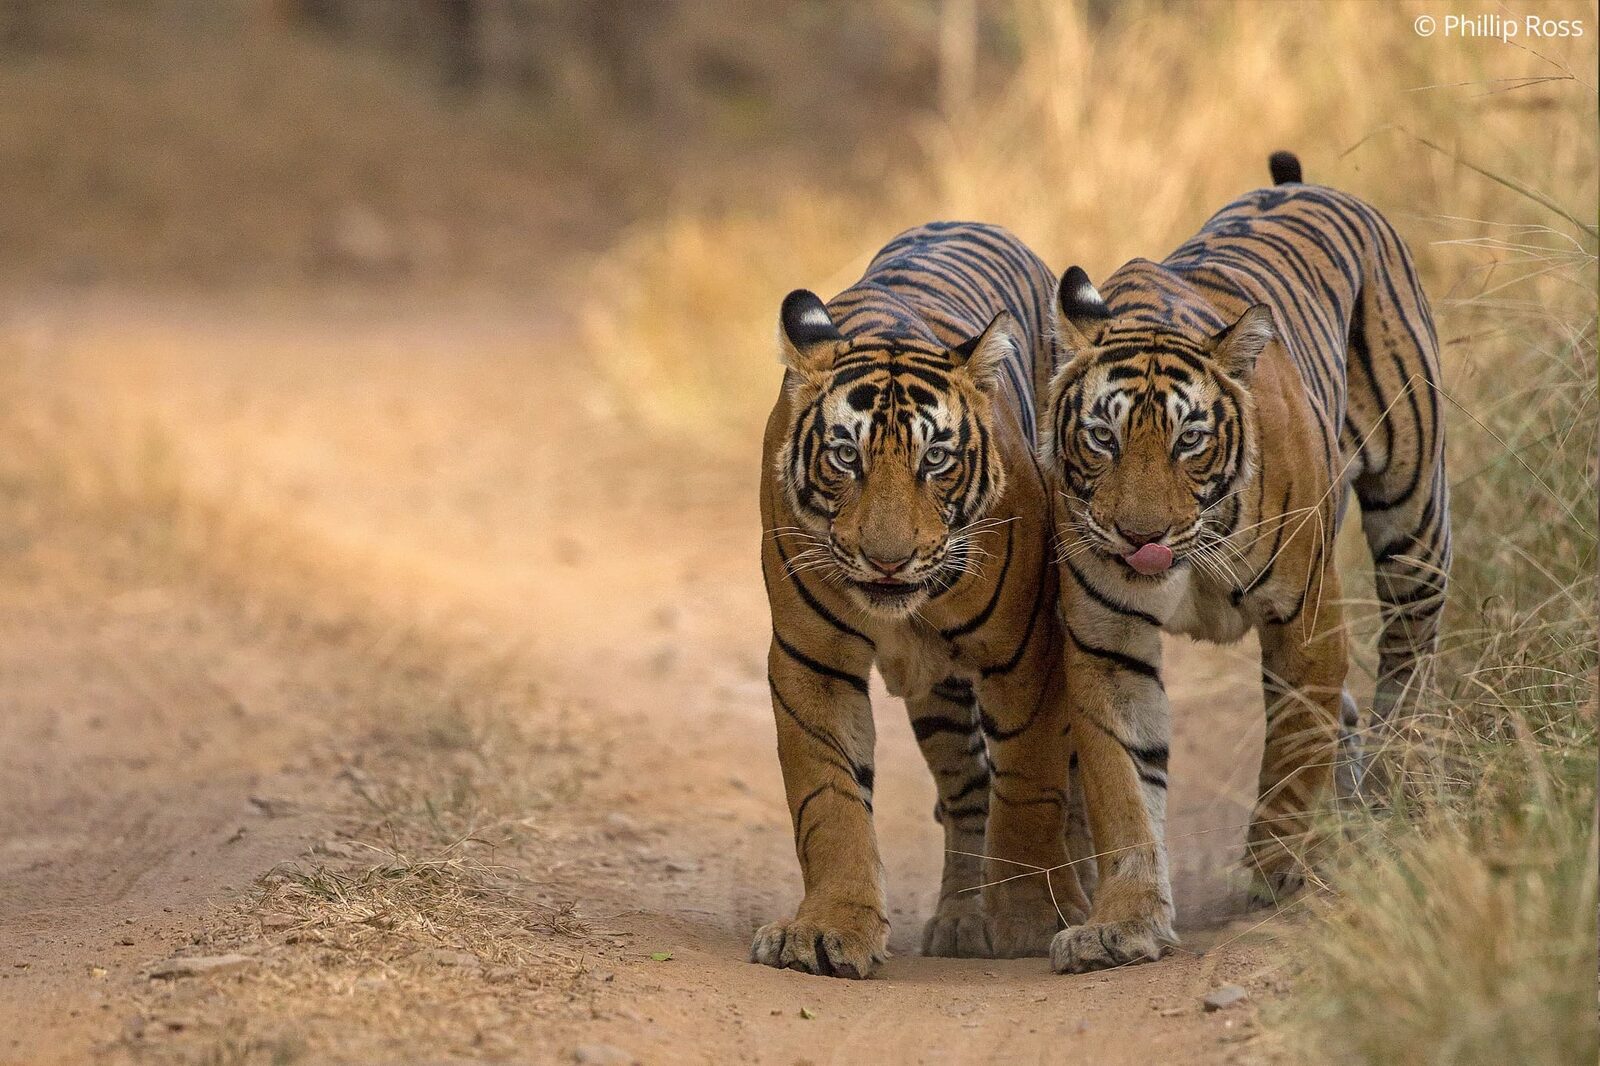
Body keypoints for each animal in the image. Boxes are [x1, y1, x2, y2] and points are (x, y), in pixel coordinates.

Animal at [754, 221, 1094, 979]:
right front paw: (828, 930)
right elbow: (829, 798)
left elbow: (1030, 785)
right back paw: (963, 919)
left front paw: (1034, 920)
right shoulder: (811, 658)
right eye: (845, 457)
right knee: (966, 788)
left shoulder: (1026, 651)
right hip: (936, 693)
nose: (888, 560)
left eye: (935, 459)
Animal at [1039, 152, 1450, 973]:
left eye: (1189, 441)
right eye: (1102, 438)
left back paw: (1392, 784)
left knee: (1407, 652)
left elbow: (1293, 741)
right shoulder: (1107, 644)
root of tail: (1301, 183)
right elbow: (1123, 785)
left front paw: (1276, 862)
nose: (1140, 535)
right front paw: (1123, 923)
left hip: (1414, 510)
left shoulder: (1306, 617)